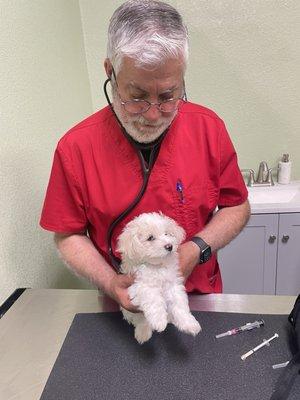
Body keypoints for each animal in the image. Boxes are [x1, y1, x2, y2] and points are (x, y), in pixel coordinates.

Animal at [117, 212, 202, 344]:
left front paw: (189, 323)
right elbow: (153, 299)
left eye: (166, 233)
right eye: (150, 238)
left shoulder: (173, 285)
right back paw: (143, 332)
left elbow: (179, 304)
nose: (169, 246)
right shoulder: (138, 286)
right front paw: (159, 321)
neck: (157, 266)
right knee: (140, 319)